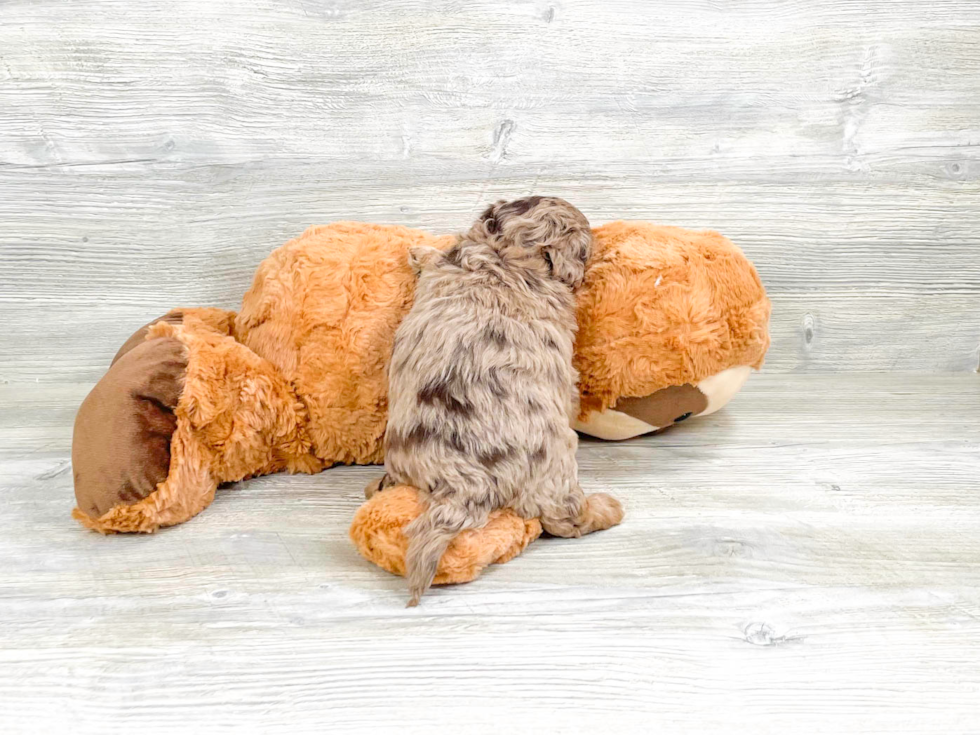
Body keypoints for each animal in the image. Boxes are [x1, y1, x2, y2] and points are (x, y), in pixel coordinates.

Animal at [368, 196, 628, 604]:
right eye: (585, 249)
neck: (502, 257)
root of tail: (467, 484)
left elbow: (437, 258)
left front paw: (419, 251)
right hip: (555, 466)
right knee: (564, 517)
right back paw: (606, 509)